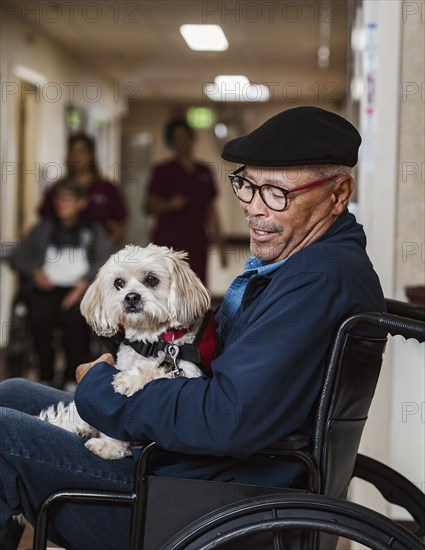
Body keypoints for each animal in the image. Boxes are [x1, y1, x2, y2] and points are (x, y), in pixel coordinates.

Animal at [39, 246, 211, 462]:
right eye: (118, 283)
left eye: (152, 279)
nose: (131, 297)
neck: (149, 342)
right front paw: (111, 446)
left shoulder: (188, 375)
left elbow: (157, 371)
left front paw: (130, 379)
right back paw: (78, 427)